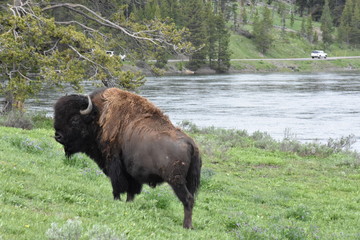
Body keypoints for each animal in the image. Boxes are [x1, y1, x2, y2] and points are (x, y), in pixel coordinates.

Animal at [53, 87, 201, 228]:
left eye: (75, 119)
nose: (58, 136)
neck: (99, 117)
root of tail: (191, 144)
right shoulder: (132, 173)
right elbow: (131, 191)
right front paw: (128, 204)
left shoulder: (114, 164)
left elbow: (117, 186)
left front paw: (117, 200)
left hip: (176, 181)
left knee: (188, 199)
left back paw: (187, 226)